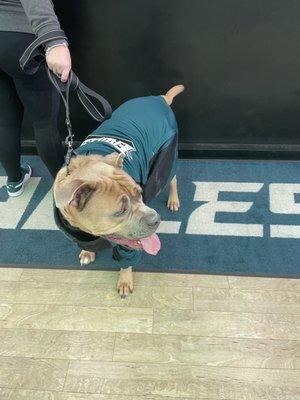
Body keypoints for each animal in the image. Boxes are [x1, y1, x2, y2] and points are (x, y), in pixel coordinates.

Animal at [53, 85, 184, 296]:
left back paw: (173, 199)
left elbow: (127, 259)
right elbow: (86, 243)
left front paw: (124, 280)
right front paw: (88, 252)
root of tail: (159, 98)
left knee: (171, 177)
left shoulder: (130, 244)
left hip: (166, 156)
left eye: (139, 193)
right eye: (121, 210)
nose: (155, 219)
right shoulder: (78, 233)